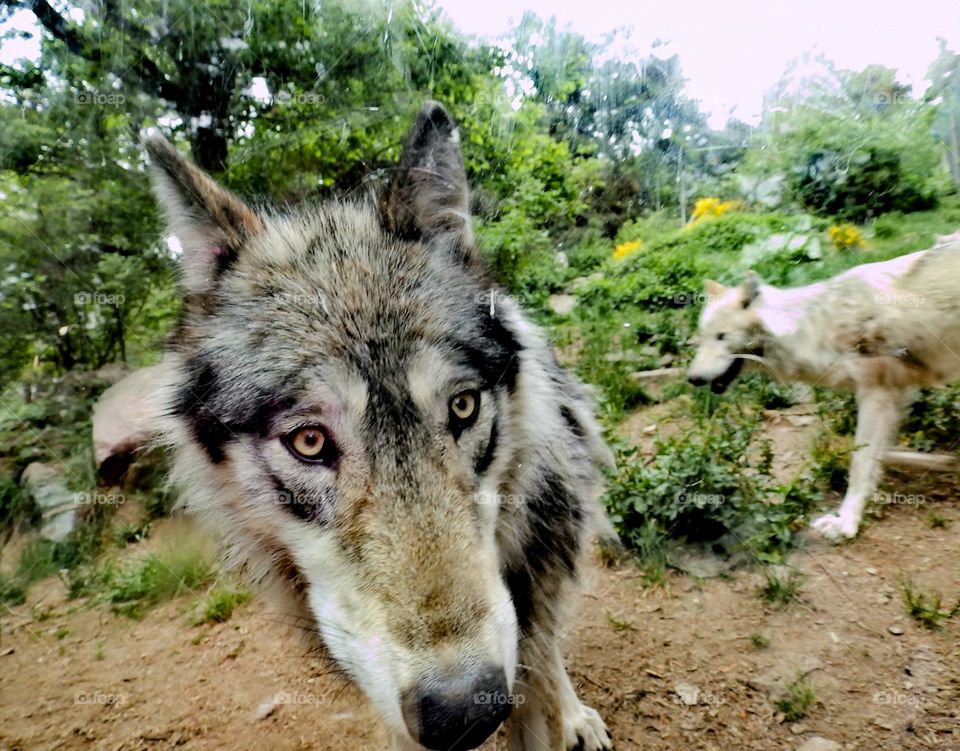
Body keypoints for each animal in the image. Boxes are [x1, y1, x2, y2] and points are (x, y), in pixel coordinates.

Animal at [687, 243, 960, 540]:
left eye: (721, 336)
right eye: (702, 337)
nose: (692, 378)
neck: (815, 326)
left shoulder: (876, 394)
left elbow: (860, 463)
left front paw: (846, 522)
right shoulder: (894, 395)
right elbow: (876, 455)